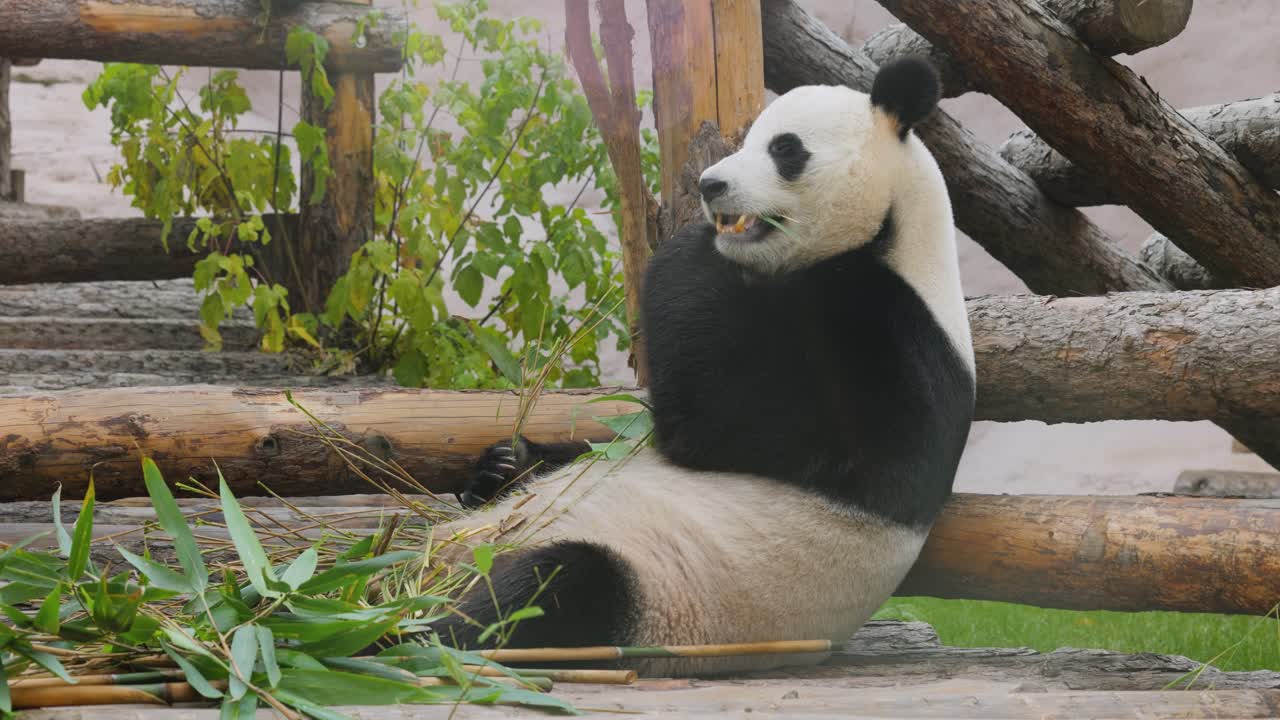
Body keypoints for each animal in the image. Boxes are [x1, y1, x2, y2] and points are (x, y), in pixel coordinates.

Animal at [425, 57, 975, 678]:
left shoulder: (896, 353)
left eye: (785, 149)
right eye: (750, 138)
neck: (893, 237)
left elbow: (725, 421)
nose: (711, 185)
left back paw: (403, 630)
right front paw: (501, 462)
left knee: (552, 590)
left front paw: (692, 246)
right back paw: (498, 472)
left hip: (656, 593)